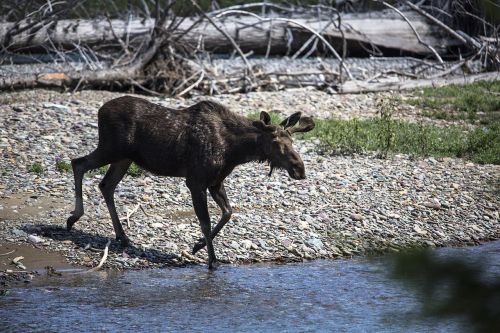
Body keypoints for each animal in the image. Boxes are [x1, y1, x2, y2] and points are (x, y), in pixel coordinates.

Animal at [66, 96, 314, 268]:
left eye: (292, 140)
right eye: (275, 141)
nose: (299, 169)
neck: (236, 151)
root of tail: (100, 110)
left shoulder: (215, 182)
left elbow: (228, 212)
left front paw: (198, 246)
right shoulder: (195, 181)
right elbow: (205, 221)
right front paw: (212, 260)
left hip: (123, 158)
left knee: (105, 184)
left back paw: (122, 236)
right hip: (111, 149)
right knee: (78, 163)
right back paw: (74, 217)